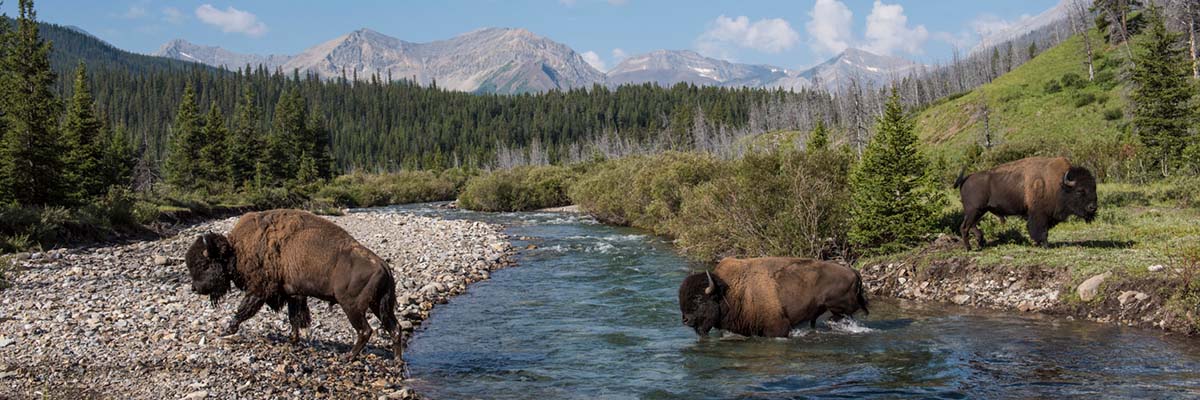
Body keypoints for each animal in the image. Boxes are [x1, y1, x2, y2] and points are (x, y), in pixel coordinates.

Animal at [185, 209, 403, 360]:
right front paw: (293, 339)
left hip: (352, 306)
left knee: (365, 330)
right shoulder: (294, 294)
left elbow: (243, 310)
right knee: (395, 328)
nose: (194, 288)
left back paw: (348, 356)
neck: (236, 250)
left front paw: (227, 330)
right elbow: (294, 318)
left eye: (203, 264)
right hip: (379, 305)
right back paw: (397, 361)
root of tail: (383, 264)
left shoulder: (259, 290)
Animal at [678, 257, 869, 337]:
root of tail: (853, 271)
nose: (685, 320)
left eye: (699, 299)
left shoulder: (777, 327)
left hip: (840, 307)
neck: (731, 291)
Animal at [954, 156, 1097, 250]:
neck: (1059, 184)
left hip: (979, 211)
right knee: (965, 227)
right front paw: (1045, 245)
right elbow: (1041, 230)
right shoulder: (1039, 214)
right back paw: (969, 248)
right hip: (974, 210)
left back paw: (980, 242)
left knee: (971, 225)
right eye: (1080, 190)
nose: (1093, 207)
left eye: (1094, 188)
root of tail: (966, 178)